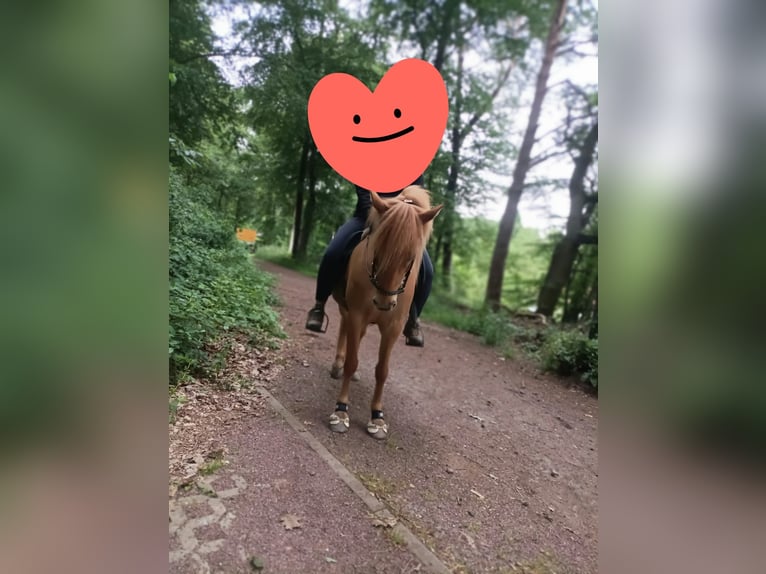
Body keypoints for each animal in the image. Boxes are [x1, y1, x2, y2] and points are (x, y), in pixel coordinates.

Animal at [328, 186, 442, 439]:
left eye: (410, 258)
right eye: (377, 249)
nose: (384, 302)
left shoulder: (393, 326)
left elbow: (382, 370)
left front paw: (377, 418)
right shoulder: (357, 314)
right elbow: (352, 361)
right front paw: (341, 411)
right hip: (347, 308)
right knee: (344, 329)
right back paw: (337, 364)